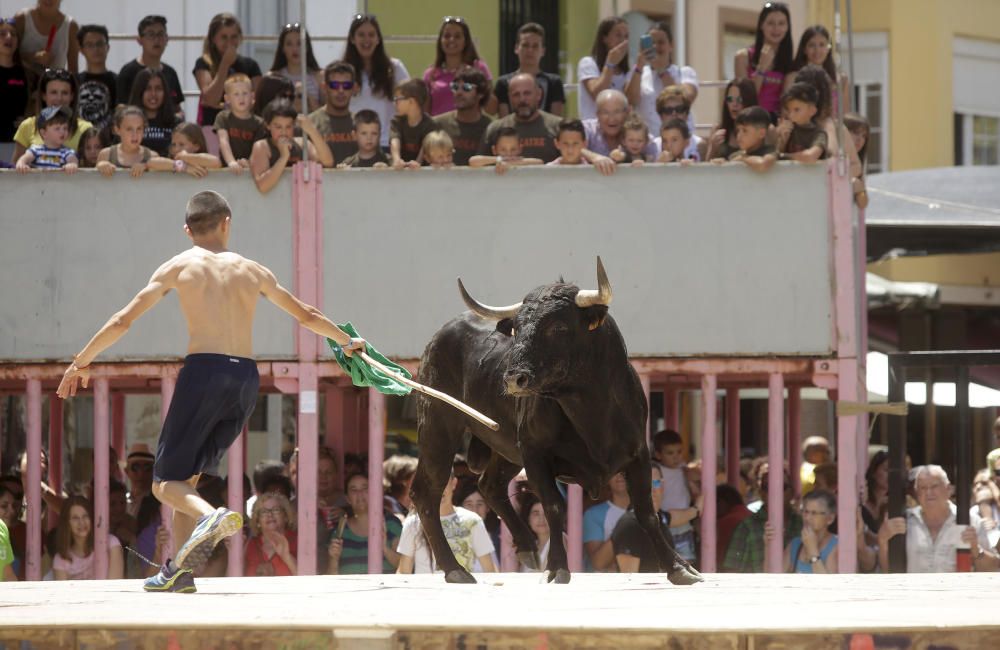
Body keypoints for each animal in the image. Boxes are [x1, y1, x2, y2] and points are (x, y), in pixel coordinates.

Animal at [412, 256, 704, 584]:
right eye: (516, 328)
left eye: (559, 326)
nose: (513, 379)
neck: (592, 413)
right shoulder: (535, 454)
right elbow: (553, 506)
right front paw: (556, 566)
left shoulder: (638, 454)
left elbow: (646, 512)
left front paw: (679, 567)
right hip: (438, 427)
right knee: (426, 494)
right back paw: (455, 569)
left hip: (504, 446)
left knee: (490, 484)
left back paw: (526, 546)